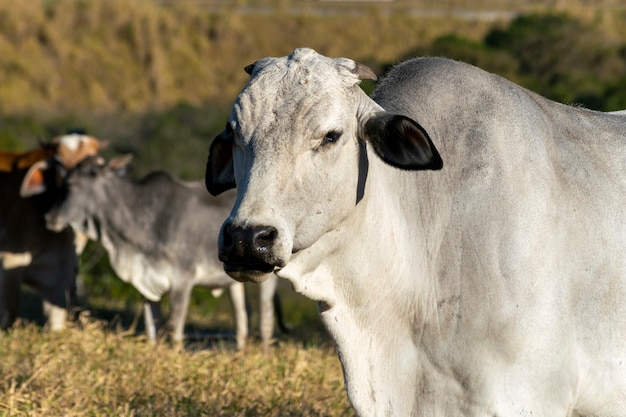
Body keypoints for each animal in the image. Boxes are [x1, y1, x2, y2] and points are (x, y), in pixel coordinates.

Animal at [26, 154, 276, 346]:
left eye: (70, 186)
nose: (49, 218)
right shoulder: (145, 284)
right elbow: (152, 330)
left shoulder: (182, 280)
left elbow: (174, 331)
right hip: (235, 282)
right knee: (243, 318)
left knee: (265, 321)